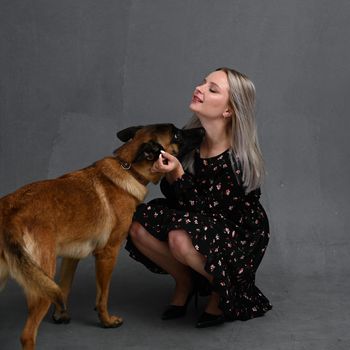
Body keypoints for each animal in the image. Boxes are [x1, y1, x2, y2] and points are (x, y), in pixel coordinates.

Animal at [0, 123, 204, 350]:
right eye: (177, 135)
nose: (203, 131)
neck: (129, 168)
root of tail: (10, 214)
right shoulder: (108, 254)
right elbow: (102, 296)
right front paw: (107, 321)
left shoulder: (72, 257)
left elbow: (64, 287)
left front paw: (61, 315)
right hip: (42, 280)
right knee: (27, 335)